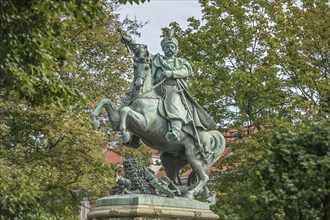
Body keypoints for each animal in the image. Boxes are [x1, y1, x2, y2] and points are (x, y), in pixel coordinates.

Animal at [90, 43, 226, 199]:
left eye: (146, 67)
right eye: (134, 65)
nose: (138, 84)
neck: (144, 96)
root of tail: (211, 136)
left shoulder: (144, 124)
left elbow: (126, 111)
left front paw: (125, 135)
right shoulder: (116, 121)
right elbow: (106, 101)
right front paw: (95, 121)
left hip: (193, 155)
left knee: (204, 177)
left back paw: (189, 194)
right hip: (170, 160)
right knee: (175, 181)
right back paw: (173, 193)